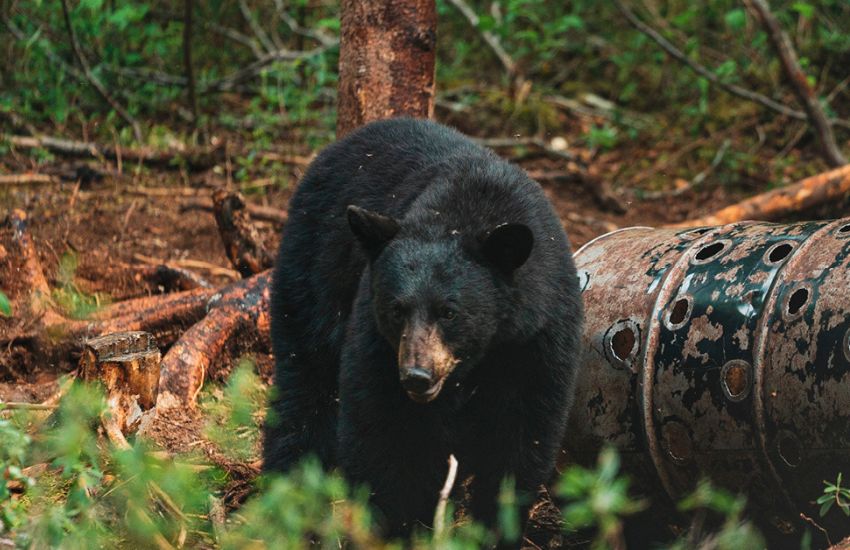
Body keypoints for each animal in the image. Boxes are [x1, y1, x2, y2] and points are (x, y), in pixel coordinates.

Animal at [264, 117, 584, 544]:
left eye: (449, 312)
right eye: (397, 310)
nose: (417, 376)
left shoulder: (536, 341)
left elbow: (519, 441)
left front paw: (494, 529)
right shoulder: (375, 339)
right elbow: (380, 432)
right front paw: (397, 529)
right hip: (313, 275)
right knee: (304, 384)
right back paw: (286, 494)